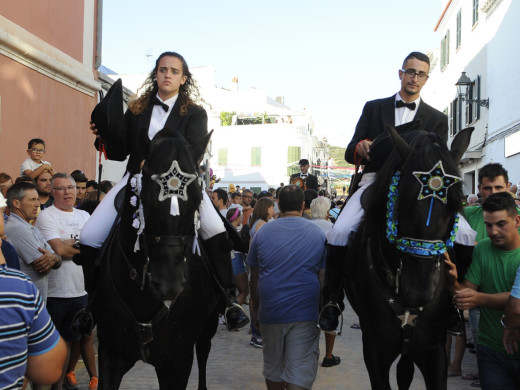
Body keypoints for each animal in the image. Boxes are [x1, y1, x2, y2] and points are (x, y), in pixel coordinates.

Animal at [92, 132, 221, 390]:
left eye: (197, 201)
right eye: (147, 200)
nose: (169, 285)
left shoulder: (177, 362)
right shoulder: (111, 352)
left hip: (208, 326)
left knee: (204, 354)